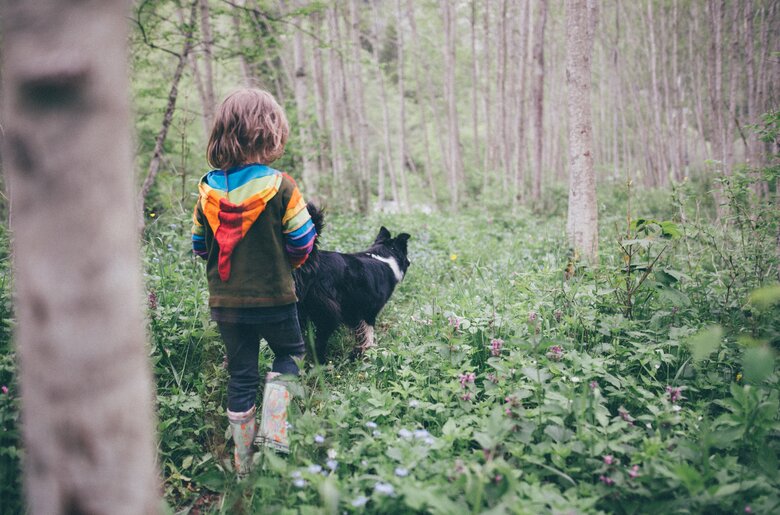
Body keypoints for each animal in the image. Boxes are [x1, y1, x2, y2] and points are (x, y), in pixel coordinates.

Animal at [294, 204, 414, 364]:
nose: (410, 262)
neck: (385, 254)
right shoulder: (370, 311)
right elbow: (369, 333)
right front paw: (369, 352)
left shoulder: (354, 313)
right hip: (328, 312)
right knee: (318, 343)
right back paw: (322, 363)